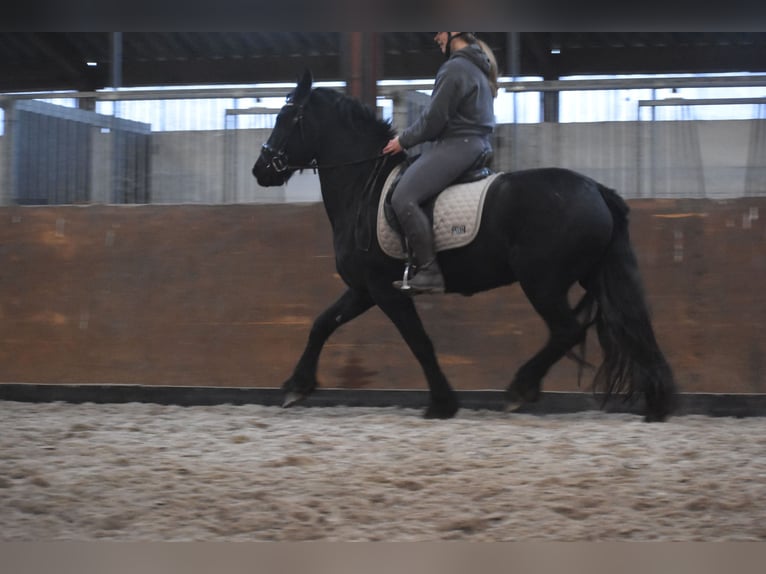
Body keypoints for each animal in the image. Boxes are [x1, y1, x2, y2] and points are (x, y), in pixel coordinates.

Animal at [252, 71, 680, 424]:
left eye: (286, 120)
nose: (260, 170)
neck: (364, 188)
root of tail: (596, 190)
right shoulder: (364, 289)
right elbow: (323, 323)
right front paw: (296, 386)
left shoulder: (384, 290)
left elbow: (419, 342)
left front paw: (442, 403)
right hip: (593, 277)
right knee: (631, 326)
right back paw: (656, 403)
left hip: (542, 282)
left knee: (567, 331)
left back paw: (520, 389)